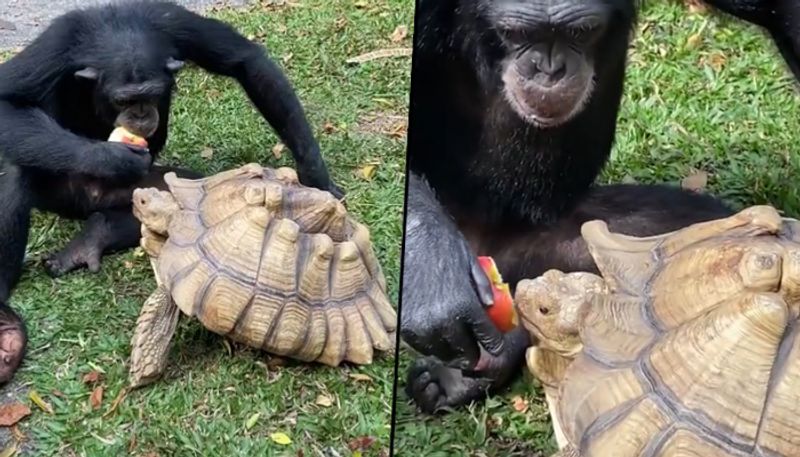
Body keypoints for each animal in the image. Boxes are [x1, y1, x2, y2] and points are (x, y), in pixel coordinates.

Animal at [0, 1, 342, 382]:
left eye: (150, 94)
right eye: (124, 100)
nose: (140, 113)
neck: (115, 30)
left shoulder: (172, 20)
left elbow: (245, 61)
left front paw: (314, 173)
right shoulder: (56, 43)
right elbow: (5, 100)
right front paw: (110, 158)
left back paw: (93, 238)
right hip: (61, 194)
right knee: (17, 174)